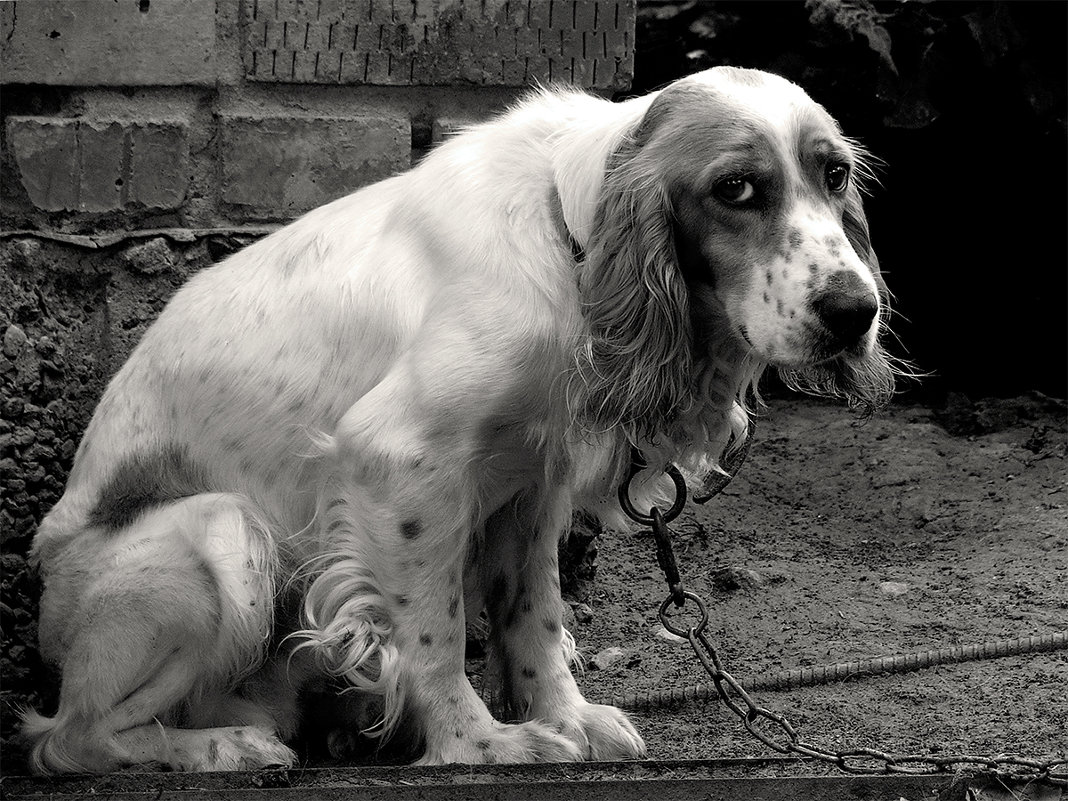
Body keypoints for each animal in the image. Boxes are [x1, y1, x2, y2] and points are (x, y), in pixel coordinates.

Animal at [22, 68, 892, 777]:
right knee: (69, 738)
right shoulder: (401, 462)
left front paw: (567, 717)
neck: (568, 241)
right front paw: (481, 744)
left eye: (835, 173)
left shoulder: (534, 480)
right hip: (224, 530)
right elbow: (432, 633)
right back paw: (222, 748)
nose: (856, 312)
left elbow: (532, 615)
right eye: (736, 188)